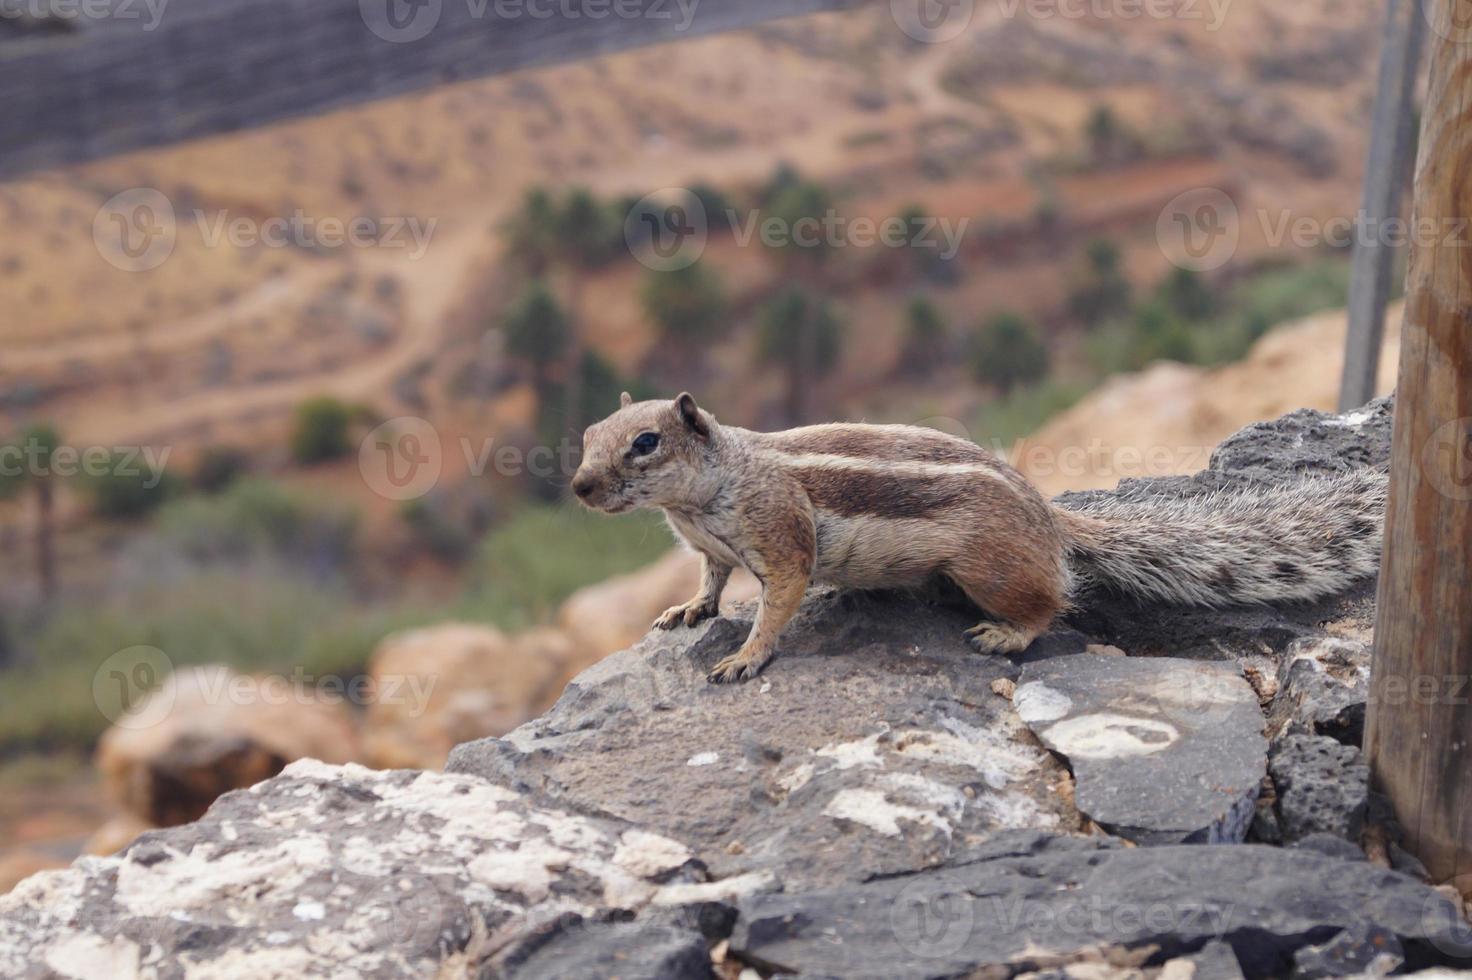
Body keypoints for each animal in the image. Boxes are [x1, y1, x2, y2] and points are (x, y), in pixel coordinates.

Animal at [568, 388, 1383, 679]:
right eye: (585, 434)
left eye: (645, 443)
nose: (578, 486)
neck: (700, 500)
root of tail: (1046, 514)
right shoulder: (710, 547)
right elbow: (710, 580)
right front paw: (689, 610)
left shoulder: (782, 538)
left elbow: (777, 605)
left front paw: (743, 657)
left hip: (985, 568)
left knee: (1052, 601)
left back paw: (1007, 634)